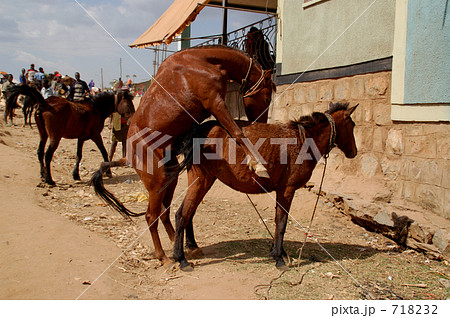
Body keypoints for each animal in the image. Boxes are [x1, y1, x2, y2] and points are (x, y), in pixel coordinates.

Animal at [90, 44, 274, 264]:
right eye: (267, 97)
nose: (261, 123)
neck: (201, 61)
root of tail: (129, 157)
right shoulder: (215, 102)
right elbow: (237, 132)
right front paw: (258, 164)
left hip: (170, 180)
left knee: (164, 213)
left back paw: (177, 245)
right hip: (157, 182)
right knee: (151, 216)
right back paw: (163, 257)